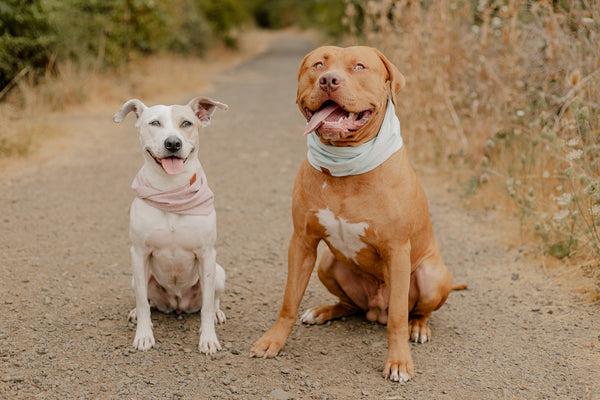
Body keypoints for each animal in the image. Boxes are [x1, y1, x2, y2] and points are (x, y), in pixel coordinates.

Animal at [112, 97, 227, 354]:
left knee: (213, 299)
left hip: (219, 273)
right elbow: (142, 302)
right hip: (137, 277)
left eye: (186, 123)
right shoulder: (139, 253)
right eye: (154, 123)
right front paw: (143, 335)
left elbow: (206, 306)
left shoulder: (207, 254)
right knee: (146, 299)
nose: (173, 143)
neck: (171, 190)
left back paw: (217, 314)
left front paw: (208, 339)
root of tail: (178, 304)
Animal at [252, 45, 454, 382]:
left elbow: (398, 317)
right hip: (327, 264)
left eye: (359, 66)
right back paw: (324, 311)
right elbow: (289, 300)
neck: (344, 164)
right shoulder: (302, 243)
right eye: (318, 65)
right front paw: (273, 341)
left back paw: (418, 327)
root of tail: (375, 310)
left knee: (413, 312)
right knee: (350, 305)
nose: (328, 80)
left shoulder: (397, 251)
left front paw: (399, 362)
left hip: (432, 275)